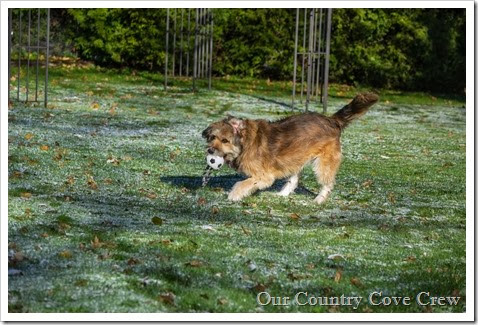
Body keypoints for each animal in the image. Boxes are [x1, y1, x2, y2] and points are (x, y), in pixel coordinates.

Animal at [201, 92, 378, 202]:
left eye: (225, 140)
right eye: (213, 137)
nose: (210, 150)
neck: (245, 143)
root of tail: (331, 120)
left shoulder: (263, 176)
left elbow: (242, 183)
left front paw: (234, 195)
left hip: (323, 163)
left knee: (327, 183)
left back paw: (319, 200)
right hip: (295, 158)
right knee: (293, 180)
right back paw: (282, 194)